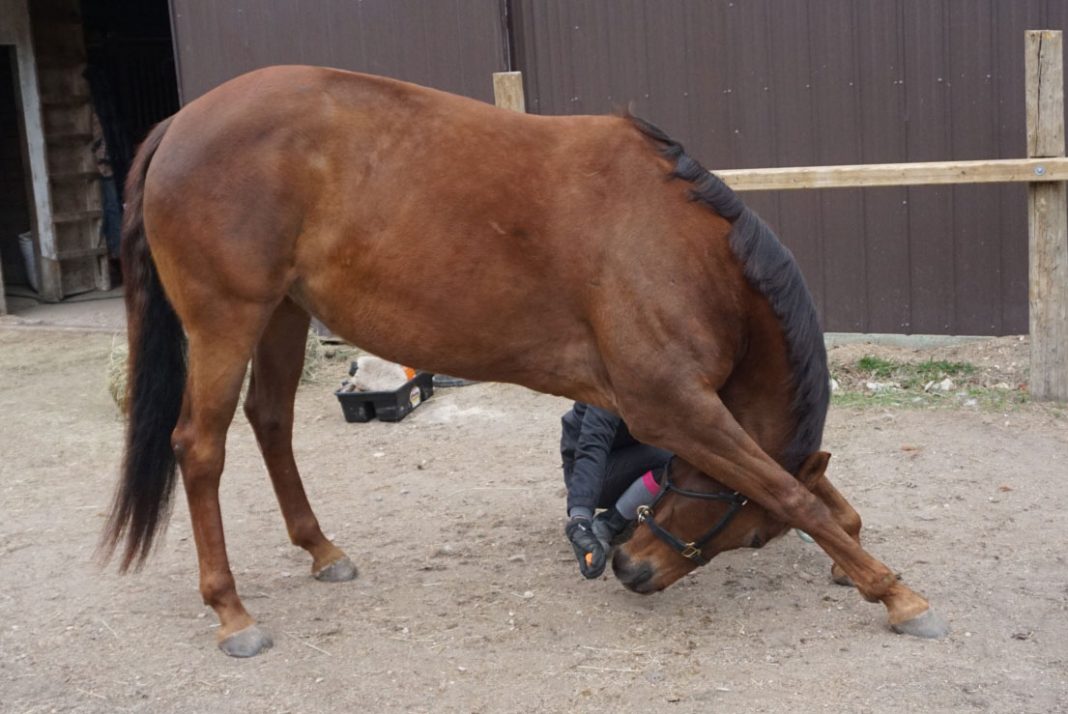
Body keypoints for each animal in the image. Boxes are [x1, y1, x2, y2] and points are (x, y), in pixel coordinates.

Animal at [102, 66, 948, 657]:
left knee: (271, 422)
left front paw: (856, 559)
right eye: (747, 533)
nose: (633, 569)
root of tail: (180, 122)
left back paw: (321, 551)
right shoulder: (673, 405)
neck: (687, 250)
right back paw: (231, 611)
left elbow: (823, 496)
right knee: (200, 448)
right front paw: (896, 596)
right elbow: (794, 491)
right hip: (227, 317)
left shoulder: (696, 414)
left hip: (282, 313)